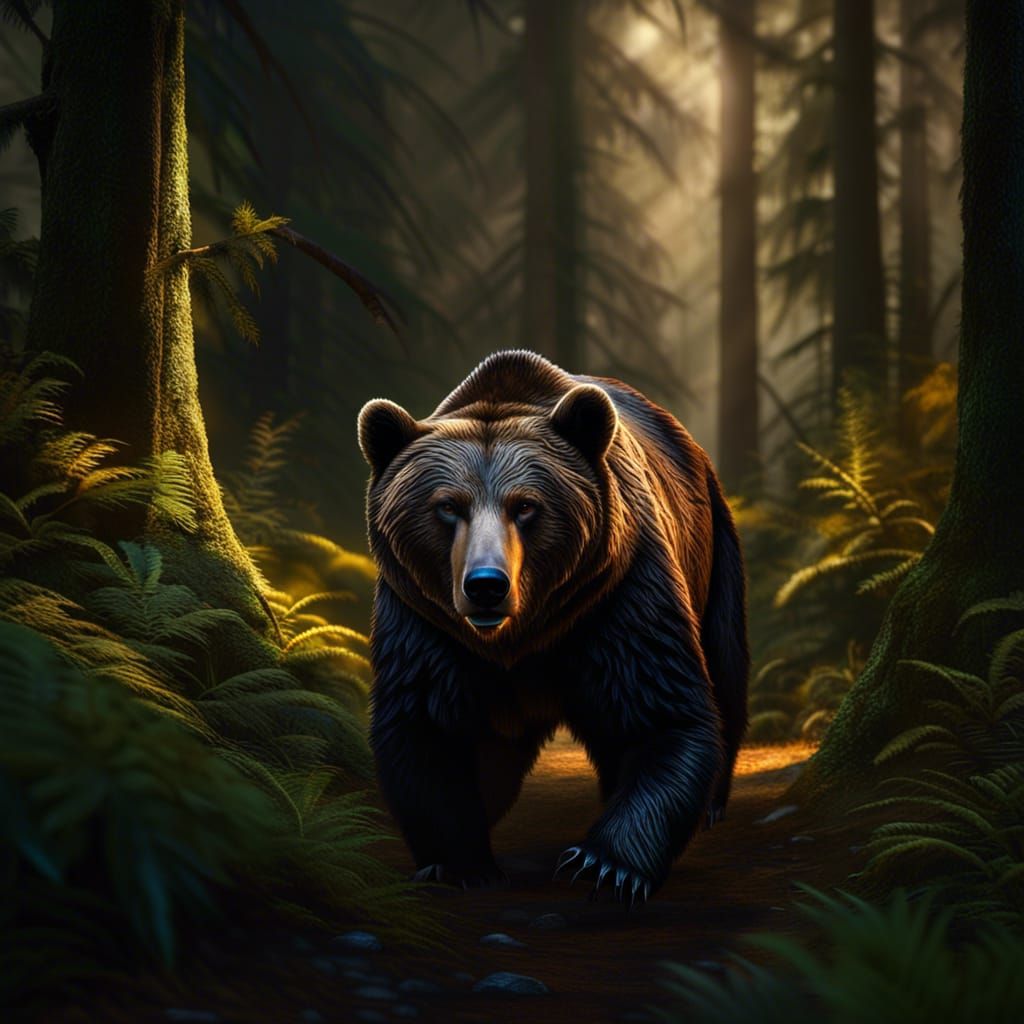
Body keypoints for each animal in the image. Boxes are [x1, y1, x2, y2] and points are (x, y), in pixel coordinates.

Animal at [357, 350, 748, 904]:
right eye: (447, 506)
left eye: (525, 505)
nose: (486, 585)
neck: (522, 634)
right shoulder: (424, 621)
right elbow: (425, 725)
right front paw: (459, 863)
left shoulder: (619, 595)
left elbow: (664, 715)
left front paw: (604, 864)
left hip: (714, 552)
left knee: (725, 663)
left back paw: (712, 801)